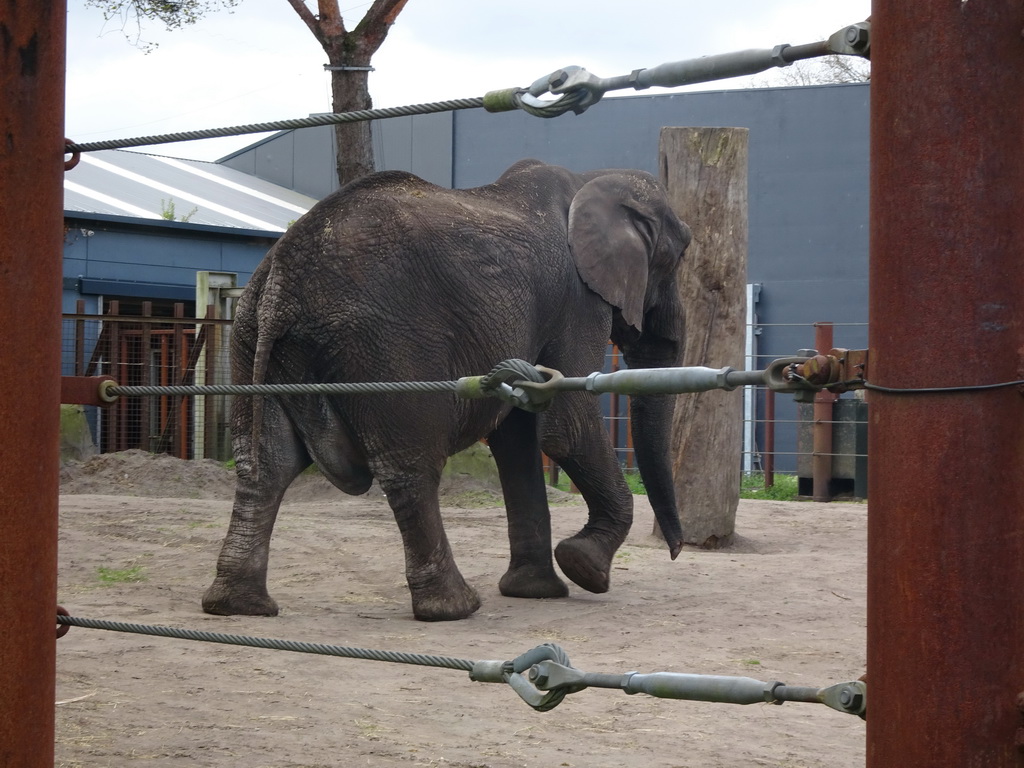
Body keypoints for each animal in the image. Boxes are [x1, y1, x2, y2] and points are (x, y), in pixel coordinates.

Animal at [200, 159, 692, 622]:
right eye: (682, 251)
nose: (676, 551)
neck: (589, 178)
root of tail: (280, 280)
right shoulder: (575, 300)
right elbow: (566, 427)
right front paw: (584, 567)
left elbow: (516, 438)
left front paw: (535, 591)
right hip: (384, 343)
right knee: (409, 464)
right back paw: (454, 608)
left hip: (250, 337)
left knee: (266, 463)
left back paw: (237, 605)